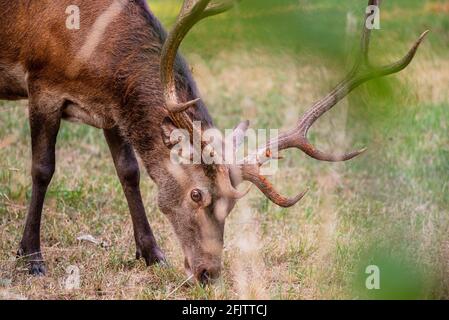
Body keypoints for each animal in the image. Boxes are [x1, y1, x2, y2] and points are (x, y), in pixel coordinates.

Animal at [0, 0, 428, 284]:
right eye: (196, 194)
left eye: (231, 206)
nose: (208, 273)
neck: (93, 51)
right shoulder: (43, 85)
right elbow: (43, 169)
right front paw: (30, 257)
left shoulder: (110, 108)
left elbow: (129, 173)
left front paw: (152, 255)